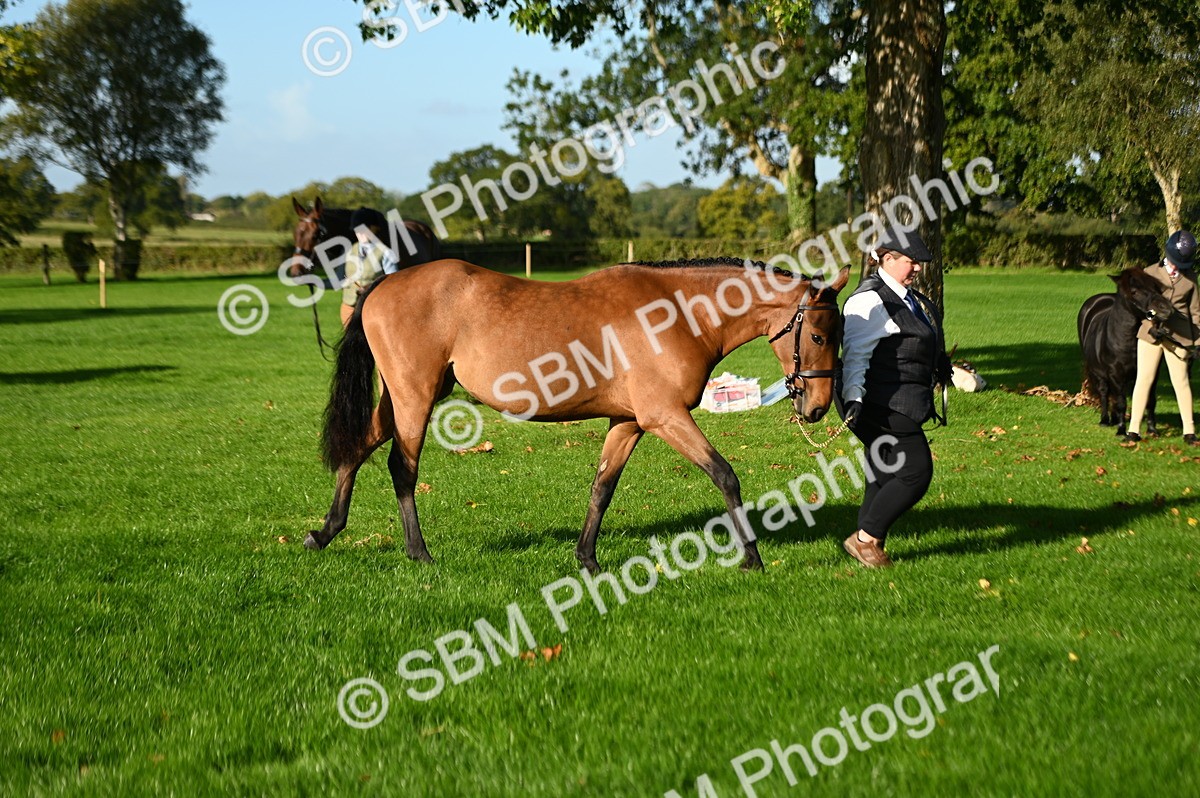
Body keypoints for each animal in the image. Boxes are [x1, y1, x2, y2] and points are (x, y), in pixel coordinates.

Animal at [303, 257, 851, 573]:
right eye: (819, 335)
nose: (817, 407)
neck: (677, 311)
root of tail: (384, 283)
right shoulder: (665, 417)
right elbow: (725, 476)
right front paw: (752, 558)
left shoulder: (628, 423)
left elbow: (602, 488)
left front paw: (586, 558)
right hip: (415, 399)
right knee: (402, 468)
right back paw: (418, 552)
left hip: (403, 399)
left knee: (357, 447)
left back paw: (325, 532)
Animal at [1078, 267, 1173, 435]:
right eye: (1134, 291)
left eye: (1156, 287)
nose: (1165, 309)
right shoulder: (1116, 374)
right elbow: (1121, 401)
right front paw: (1121, 430)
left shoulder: (1150, 373)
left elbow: (1149, 400)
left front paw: (1152, 429)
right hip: (1100, 374)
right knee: (1105, 393)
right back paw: (1105, 420)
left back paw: (1115, 419)